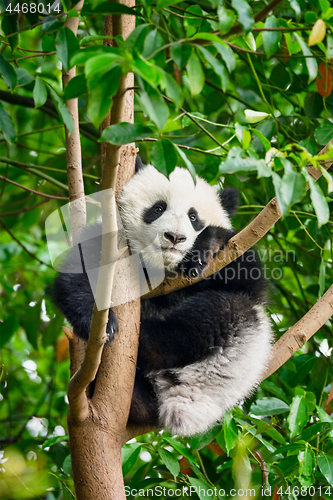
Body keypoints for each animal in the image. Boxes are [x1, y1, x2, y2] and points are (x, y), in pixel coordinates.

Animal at [53, 158, 272, 436]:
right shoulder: (112, 240)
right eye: (158, 208)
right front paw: (103, 325)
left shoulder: (238, 259)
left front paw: (202, 249)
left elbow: (249, 281)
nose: (175, 238)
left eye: (193, 217)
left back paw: (146, 338)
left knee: (212, 317)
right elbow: (77, 275)